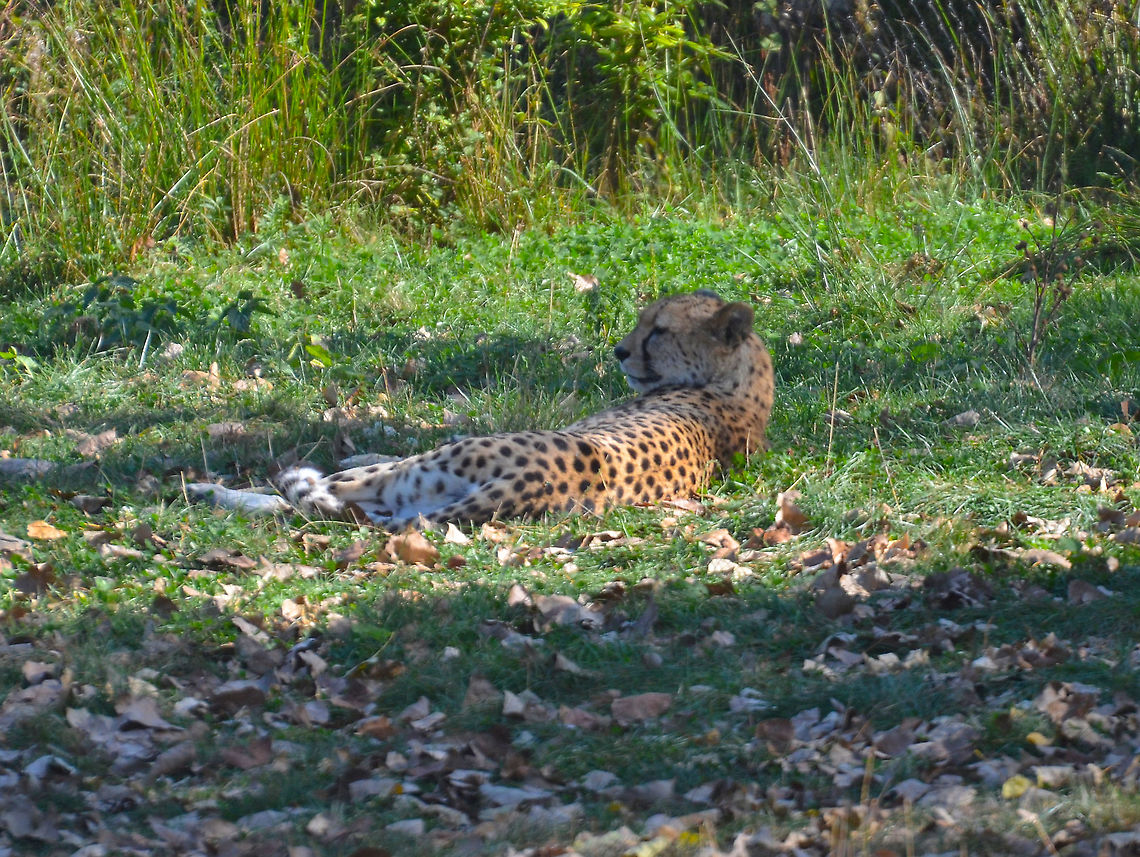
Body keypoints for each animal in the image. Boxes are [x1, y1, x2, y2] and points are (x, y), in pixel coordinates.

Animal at [267, 289, 773, 529]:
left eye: (659, 331)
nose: (620, 352)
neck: (739, 383)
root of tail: (538, 481)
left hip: (421, 474)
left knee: (318, 494)